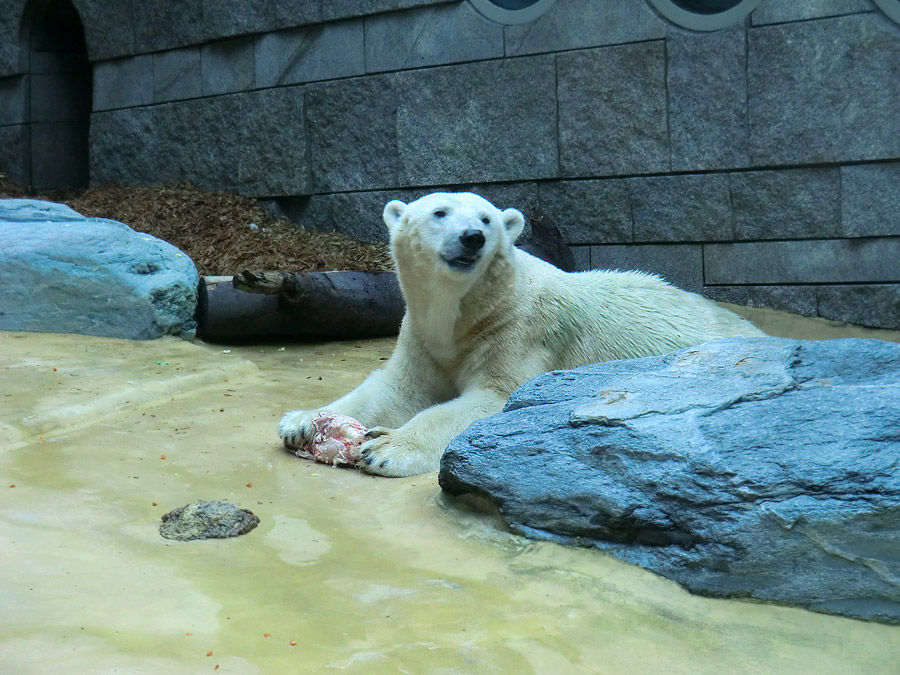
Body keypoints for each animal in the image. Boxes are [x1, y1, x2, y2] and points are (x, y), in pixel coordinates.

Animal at [278, 190, 764, 478]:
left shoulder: (519, 329)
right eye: (439, 212)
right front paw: (301, 421)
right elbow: (395, 389)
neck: (467, 313)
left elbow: (494, 398)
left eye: (487, 219)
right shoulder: (422, 336)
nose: (471, 237)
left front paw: (385, 446)